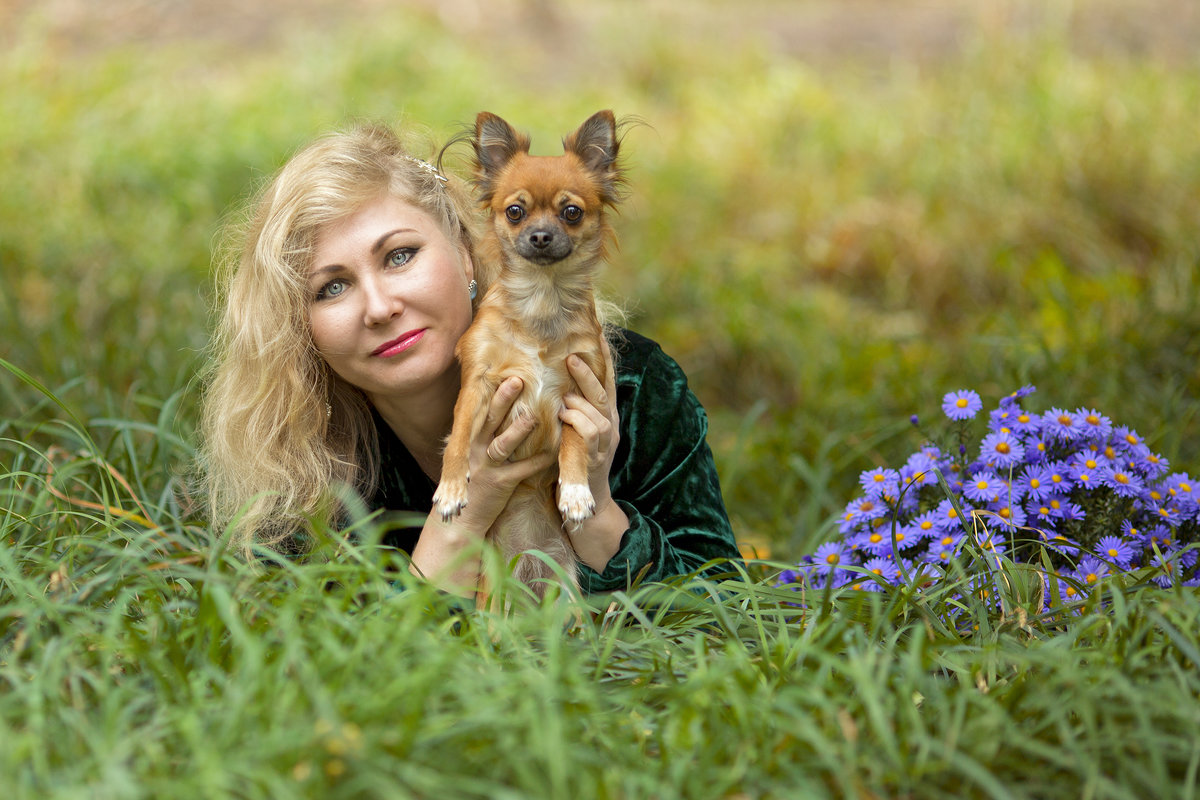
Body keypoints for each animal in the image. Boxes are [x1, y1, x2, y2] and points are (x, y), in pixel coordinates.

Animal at [432, 109, 624, 604]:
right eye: (514, 212)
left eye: (571, 212)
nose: (539, 236)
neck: (542, 299)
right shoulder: (478, 383)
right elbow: (459, 436)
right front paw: (451, 488)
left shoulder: (577, 393)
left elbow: (575, 442)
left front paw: (574, 492)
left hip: (568, 598)